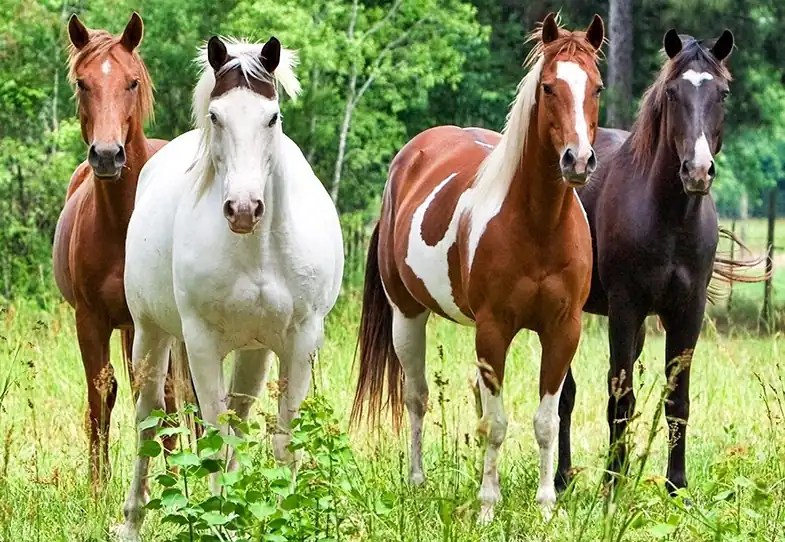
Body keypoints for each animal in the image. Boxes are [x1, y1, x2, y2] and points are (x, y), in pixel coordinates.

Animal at [51, 12, 183, 486]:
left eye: (131, 82)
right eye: (82, 83)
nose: (107, 156)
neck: (122, 224)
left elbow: (167, 395)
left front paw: (176, 479)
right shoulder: (90, 320)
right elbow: (101, 394)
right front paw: (97, 485)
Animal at [116, 36, 344, 540]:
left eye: (272, 116)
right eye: (216, 116)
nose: (243, 208)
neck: (258, 251)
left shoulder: (301, 341)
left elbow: (280, 440)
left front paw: (281, 515)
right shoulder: (201, 343)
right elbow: (214, 437)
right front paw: (220, 519)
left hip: (254, 352)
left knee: (238, 419)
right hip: (150, 334)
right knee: (147, 419)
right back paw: (132, 520)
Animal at [351, 13, 605, 523]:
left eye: (597, 87)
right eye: (549, 87)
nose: (579, 160)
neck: (539, 225)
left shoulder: (563, 330)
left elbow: (544, 421)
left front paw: (546, 506)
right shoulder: (493, 330)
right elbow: (498, 423)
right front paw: (489, 506)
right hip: (407, 315)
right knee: (417, 397)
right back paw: (417, 482)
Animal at [555, 29, 739, 495]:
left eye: (722, 93)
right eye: (672, 93)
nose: (697, 171)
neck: (668, 217)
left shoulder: (687, 312)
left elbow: (677, 400)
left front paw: (677, 487)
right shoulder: (625, 308)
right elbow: (620, 398)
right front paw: (613, 488)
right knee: (565, 393)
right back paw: (562, 478)